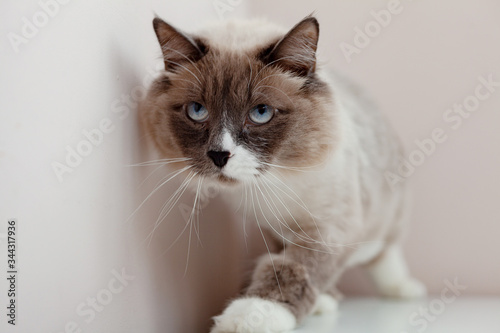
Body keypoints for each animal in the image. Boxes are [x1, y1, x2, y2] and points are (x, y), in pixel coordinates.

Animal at [141, 14, 426, 330]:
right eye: (197, 111)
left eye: (261, 113)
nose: (219, 155)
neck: (271, 182)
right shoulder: (276, 231)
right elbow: (287, 262)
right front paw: (318, 302)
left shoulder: (326, 230)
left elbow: (291, 270)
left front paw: (248, 317)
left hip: (387, 218)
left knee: (385, 253)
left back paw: (403, 289)